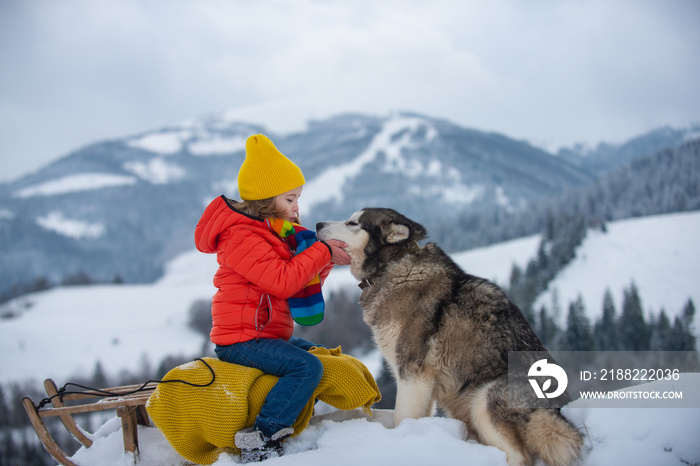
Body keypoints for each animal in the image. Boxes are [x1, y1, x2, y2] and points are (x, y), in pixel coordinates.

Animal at [318, 208, 580, 466]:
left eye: (353, 223)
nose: (319, 224)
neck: (393, 264)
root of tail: (558, 412)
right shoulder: (423, 384)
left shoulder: (412, 374)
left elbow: (402, 418)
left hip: (483, 400)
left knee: (519, 456)